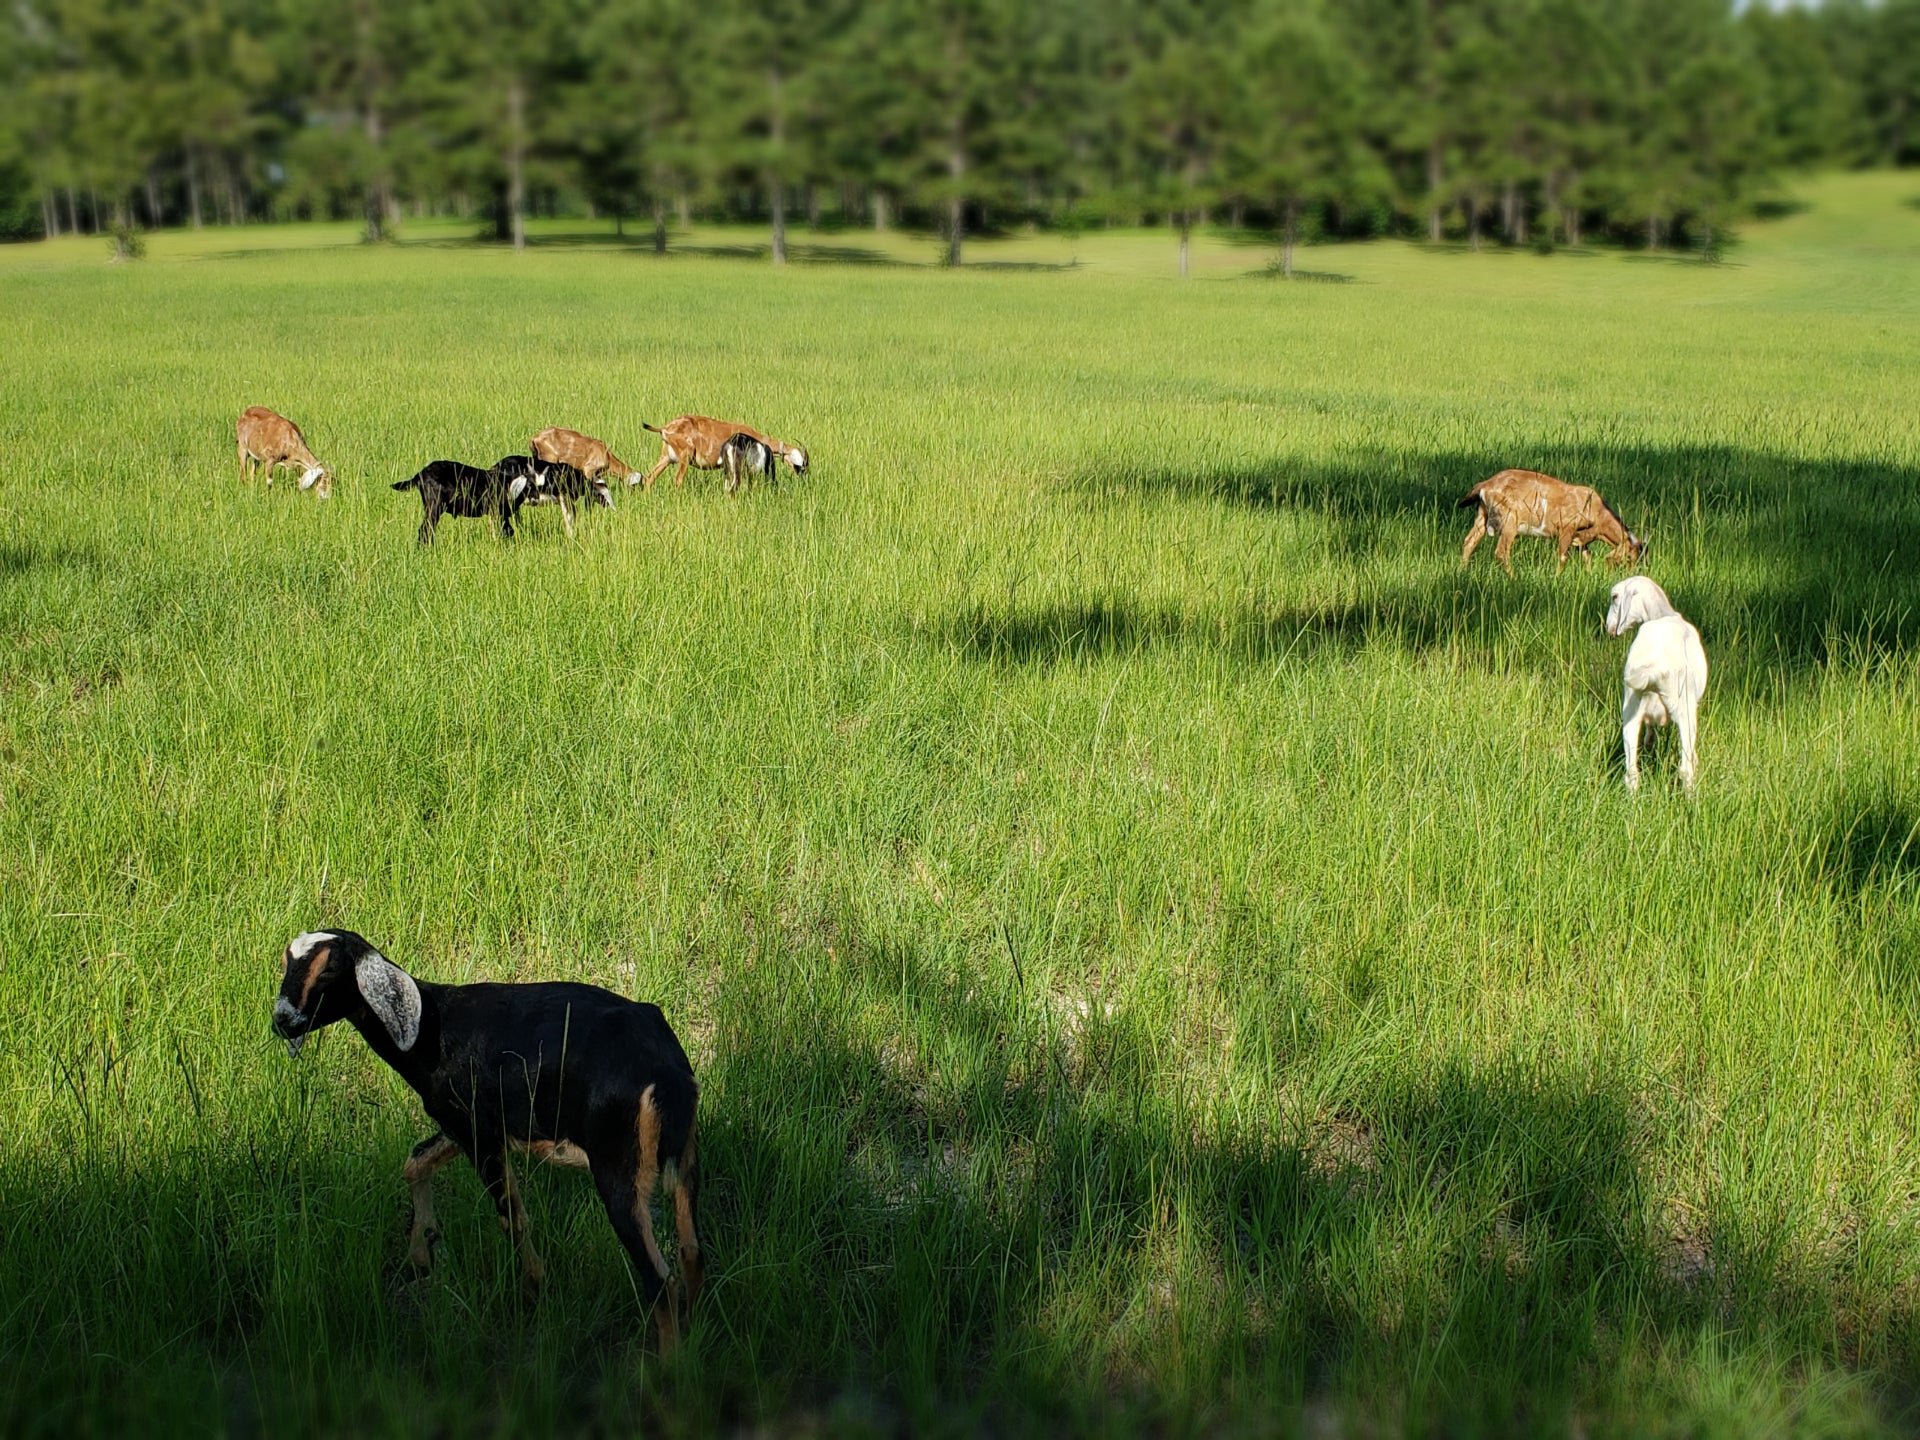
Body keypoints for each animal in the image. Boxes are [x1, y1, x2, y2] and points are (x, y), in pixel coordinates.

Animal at [274, 929, 710, 1351]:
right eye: (286, 961)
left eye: (330, 971)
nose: (282, 1019)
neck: (434, 1031)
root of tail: (664, 1074)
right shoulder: (469, 1124)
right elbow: (416, 1160)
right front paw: (421, 1250)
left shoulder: (477, 1133)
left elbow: (511, 1218)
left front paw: (532, 1291)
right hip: (685, 1159)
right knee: (692, 1253)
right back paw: (694, 1339)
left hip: (618, 1163)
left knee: (660, 1281)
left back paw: (667, 1369)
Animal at [633, 414, 806, 495]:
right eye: (802, 465)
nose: (803, 479)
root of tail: (665, 428)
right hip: (684, 458)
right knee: (678, 480)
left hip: (666, 458)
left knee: (649, 478)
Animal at [1459, 464, 1643, 572]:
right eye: (1629, 557)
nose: (1630, 574)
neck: (1597, 510)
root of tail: (1485, 485)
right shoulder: (1567, 529)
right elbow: (1563, 557)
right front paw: (1557, 579)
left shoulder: (1581, 540)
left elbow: (1587, 557)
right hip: (1510, 521)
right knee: (1502, 552)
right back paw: (1514, 578)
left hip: (1482, 515)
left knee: (1469, 542)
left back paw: (1462, 571)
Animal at [1605, 579, 1712, 794]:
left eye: (1614, 597)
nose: (1608, 627)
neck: (1662, 613)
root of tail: (1653, 669)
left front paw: (1649, 744)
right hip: (1685, 709)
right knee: (1686, 768)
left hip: (1631, 708)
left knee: (1632, 772)